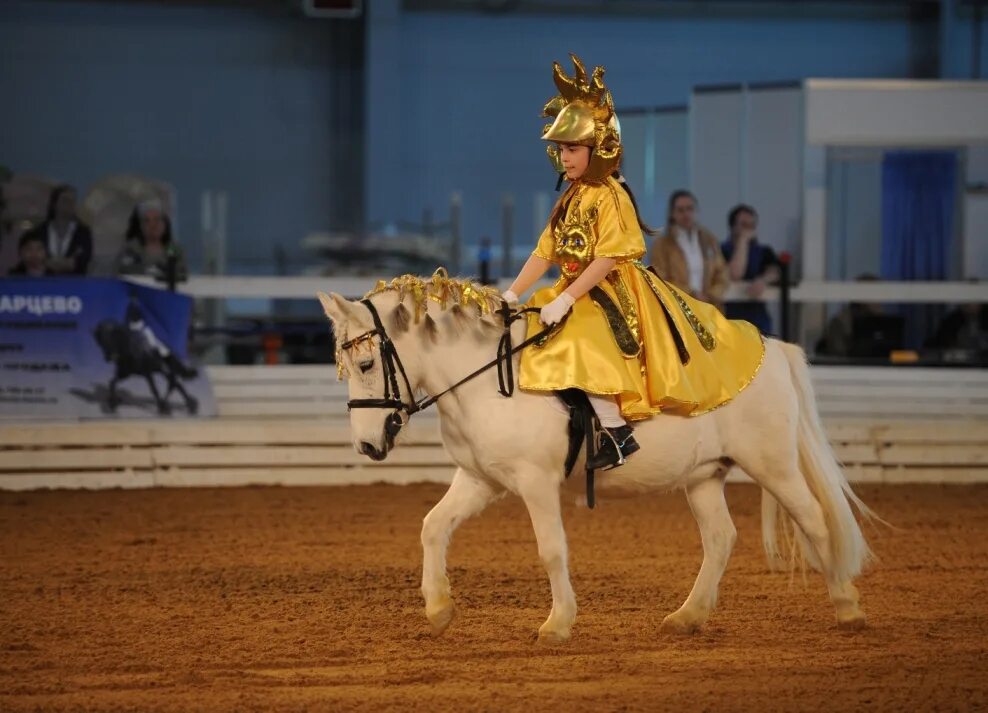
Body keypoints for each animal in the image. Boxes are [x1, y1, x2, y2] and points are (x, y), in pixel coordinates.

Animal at [318, 280, 872, 644]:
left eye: (366, 363)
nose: (366, 446)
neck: (483, 378)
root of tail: (772, 350)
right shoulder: (480, 478)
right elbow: (433, 526)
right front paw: (438, 607)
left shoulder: (536, 482)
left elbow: (551, 550)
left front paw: (557, 624)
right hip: (704, 475)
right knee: (721, 538)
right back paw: (688, 617)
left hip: (772, 464)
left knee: (815, 521)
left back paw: (847, 608)